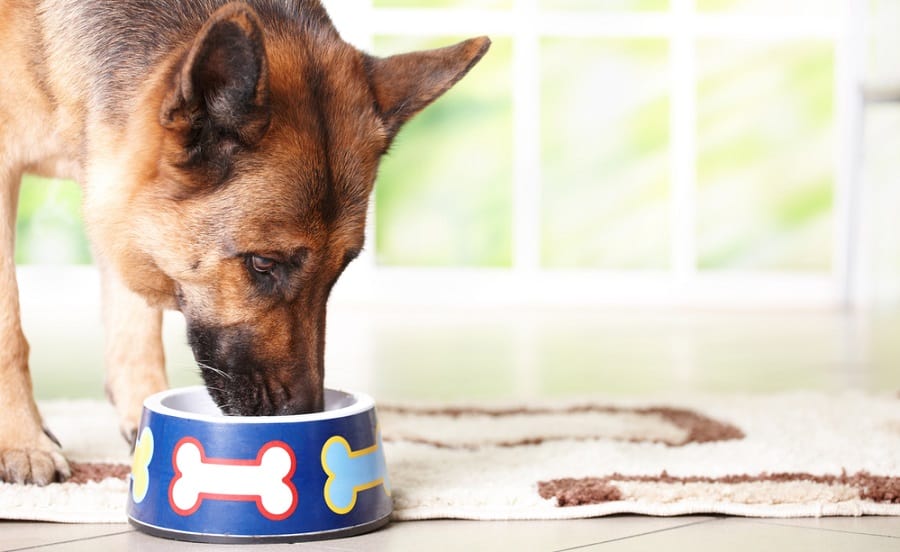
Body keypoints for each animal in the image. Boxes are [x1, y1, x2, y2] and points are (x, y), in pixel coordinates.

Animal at [0, 0, 488, 484]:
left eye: (342, 268)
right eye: (263, 263)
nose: (304, 413)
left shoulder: (115, 186)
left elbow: (135, 324)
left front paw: (143, 416)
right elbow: (10, 332)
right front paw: (23, 442)